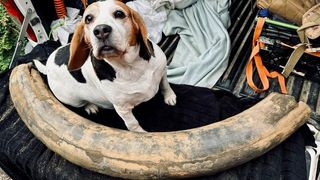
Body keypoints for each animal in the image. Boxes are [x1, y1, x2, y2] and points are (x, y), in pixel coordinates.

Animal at [34, 0, 178, 132]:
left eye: (119, 13)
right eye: (88, 19)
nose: (101, 30)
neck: (131, 66)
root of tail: (48, 64)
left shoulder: (162, 72)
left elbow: (165, 85)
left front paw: (169, 96)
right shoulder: (122, 109)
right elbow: (133, 124)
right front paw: (141, 134)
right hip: (72, 99)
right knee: (82, 103)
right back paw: (90, 106)